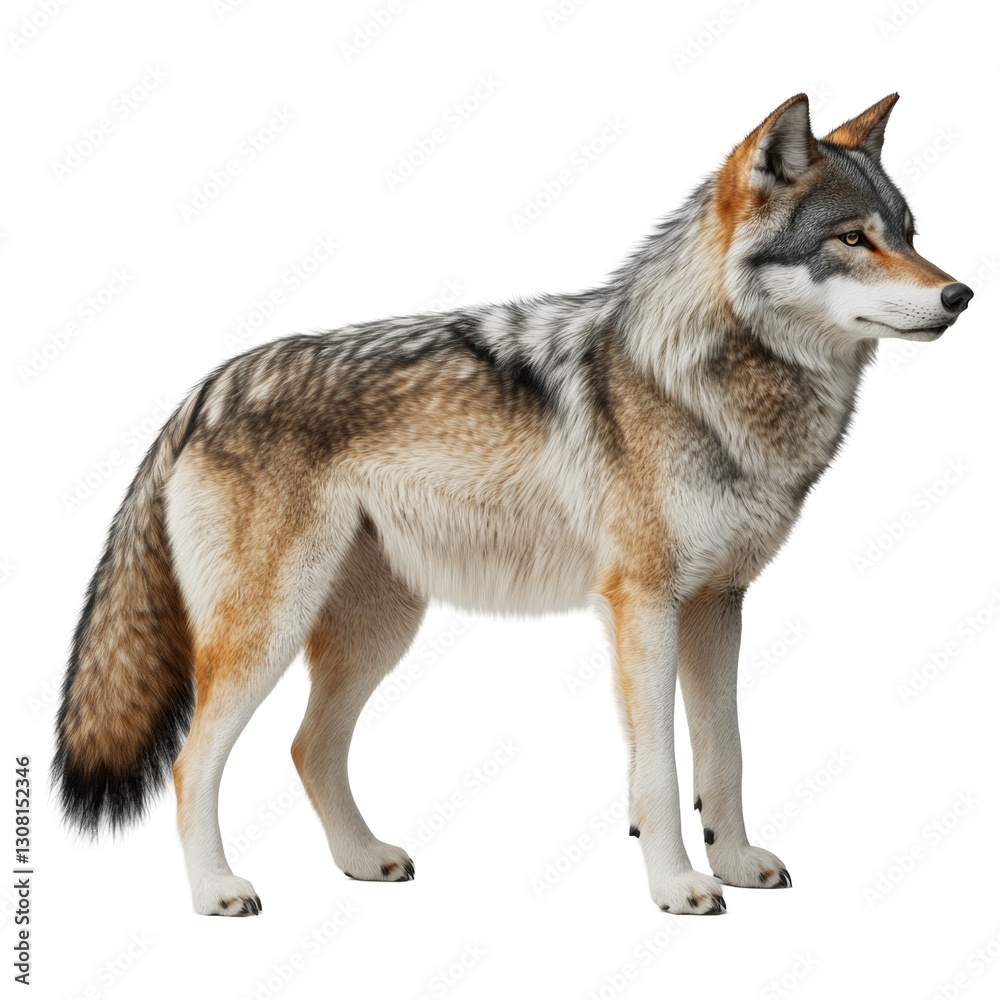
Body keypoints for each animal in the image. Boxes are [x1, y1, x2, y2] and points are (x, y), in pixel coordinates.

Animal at [54, 93, 973, 916]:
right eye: (852, 239)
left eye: (909, 236)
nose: (960, 295)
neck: (701, 382)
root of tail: (205, 388)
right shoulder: (645, 606)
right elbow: (662, 770)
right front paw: (678, 886)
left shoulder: (717, 605)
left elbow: (725, 754)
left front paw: (738, 864)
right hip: (268, 632)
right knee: (193, 763)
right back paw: (217, 891)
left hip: (378, 629)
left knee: (308, 748)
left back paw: (363, 861)